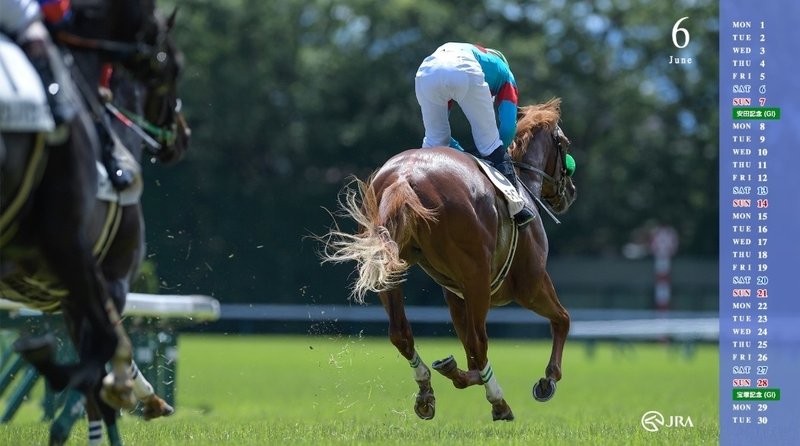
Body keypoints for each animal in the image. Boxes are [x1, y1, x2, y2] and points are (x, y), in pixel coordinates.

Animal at [1, 0, 189, 442]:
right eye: (174, 67)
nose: (182, 136)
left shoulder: (74, 297)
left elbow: (99, 369)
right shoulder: (107, 279)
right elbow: (104, 358)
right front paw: (130, 394)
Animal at [322, 98, 580, 422]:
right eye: (565, 143)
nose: (570, 192)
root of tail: (404, 177)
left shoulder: (456, 294)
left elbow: (468, 350)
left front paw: (453, 372)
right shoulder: (530, 284)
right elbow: (562, 319)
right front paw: (548, 379)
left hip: (389, 267)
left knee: (402, 334)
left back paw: (427, 390)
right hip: (479, 278)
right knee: (481, 343)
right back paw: (498, 401)